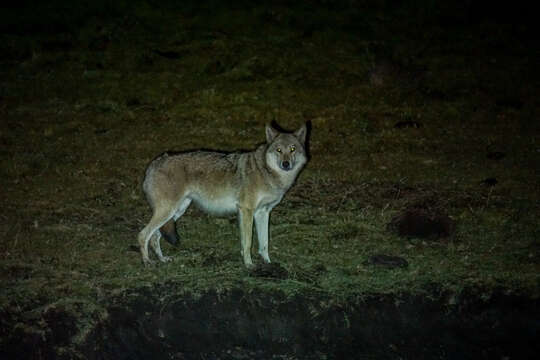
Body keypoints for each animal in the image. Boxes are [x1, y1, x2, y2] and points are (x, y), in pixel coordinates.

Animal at [137, 124, 308, 268]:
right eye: (279, 150)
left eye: (292, 149)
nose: (286, 164)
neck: (266, 172)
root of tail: (153, 164)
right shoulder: (246, 210)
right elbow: (247, 243)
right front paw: (249, 265)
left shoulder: (263, 212)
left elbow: (264, 244)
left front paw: (268, 263)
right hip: (168, 211)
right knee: (143, 235)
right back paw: (147, 262)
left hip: (177, 211)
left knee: (154, 237)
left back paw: (162, 259)